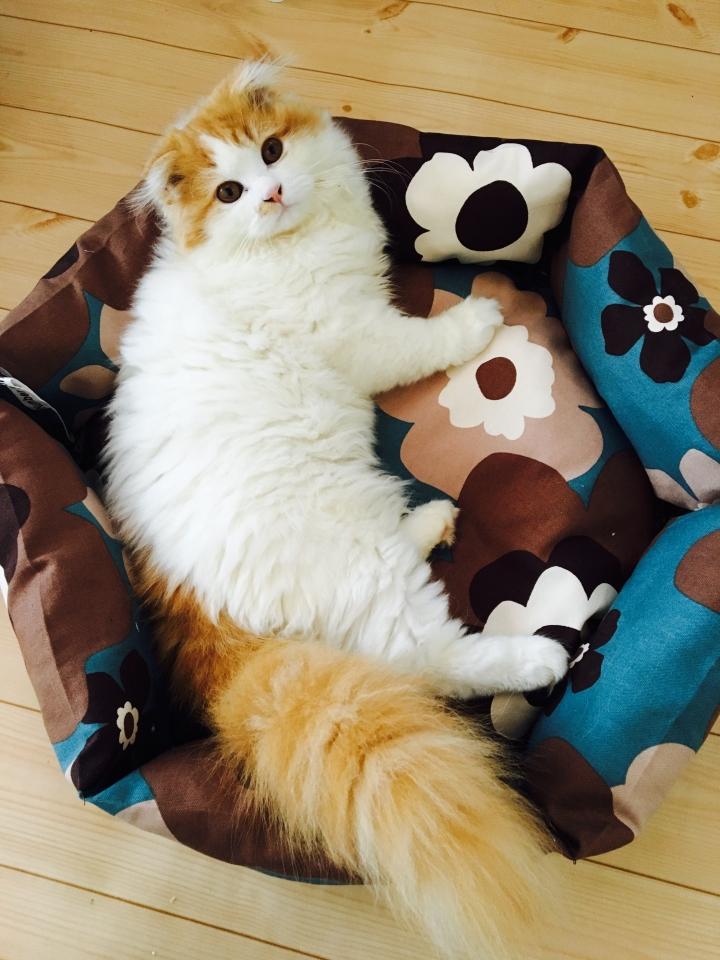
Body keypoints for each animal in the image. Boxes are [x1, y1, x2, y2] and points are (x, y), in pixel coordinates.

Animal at [105, 61, 568, 959]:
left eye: (271, 152)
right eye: (229, 192)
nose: (273, 193)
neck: (289, 247)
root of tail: (200, 622)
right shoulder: (365, 336)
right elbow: (429, 338)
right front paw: (479, 317)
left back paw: (434, 520)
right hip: (370, 575)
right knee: (433, 658)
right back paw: (541, 656)